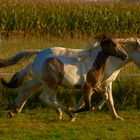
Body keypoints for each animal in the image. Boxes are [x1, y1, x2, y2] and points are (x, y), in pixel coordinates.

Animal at [0, 37, 140, 120]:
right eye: (115, 46)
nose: (124, 55)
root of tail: (40, 53)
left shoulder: (104, 83)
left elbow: (107, 98)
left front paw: (115, 116)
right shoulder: (96, 84)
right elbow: (97, 98)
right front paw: (76, 113)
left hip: (42, 81)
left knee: (28, 90)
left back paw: (14, 110)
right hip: (49, 83)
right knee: (39, 95)